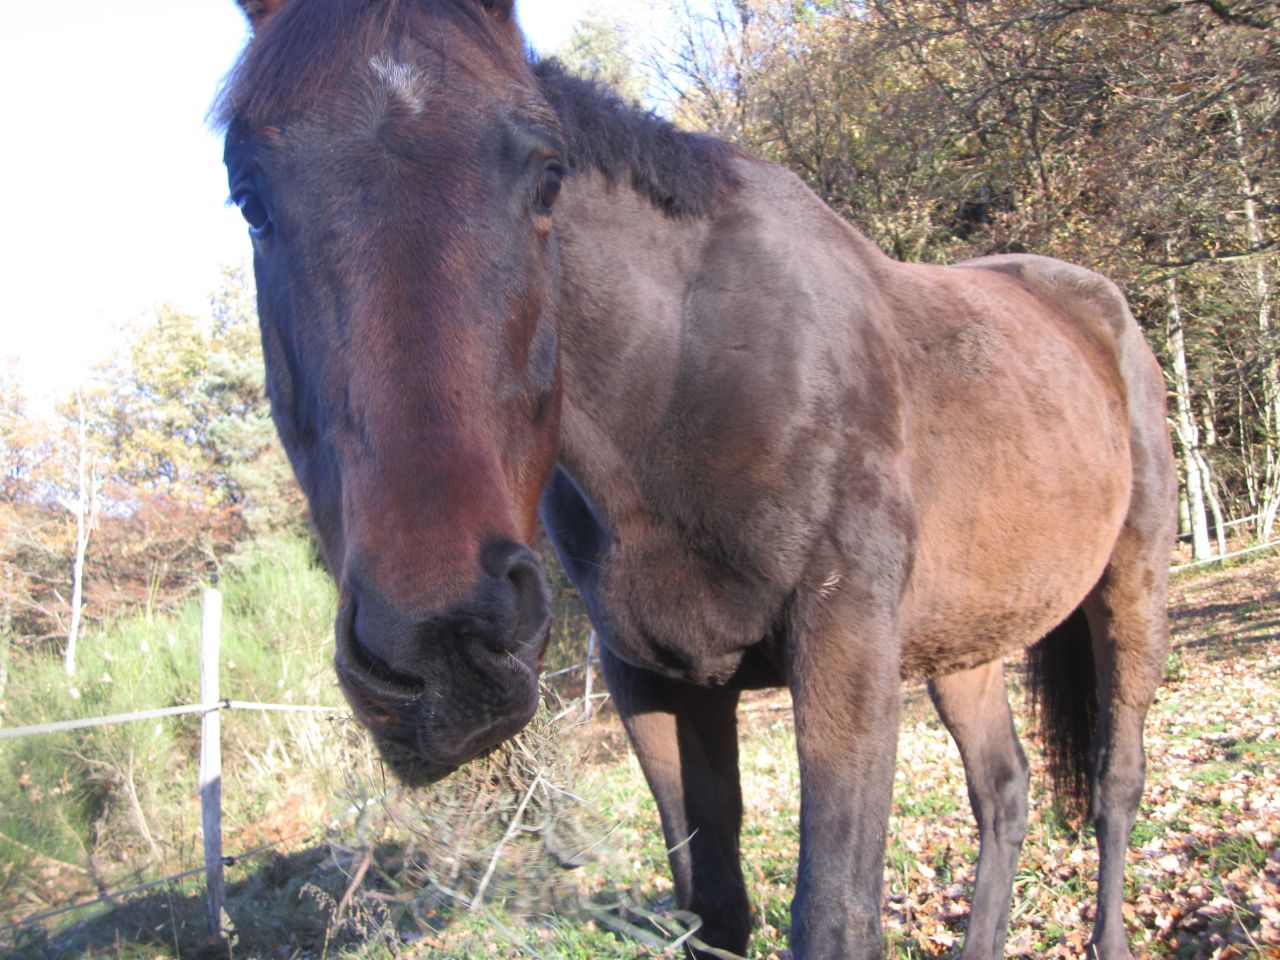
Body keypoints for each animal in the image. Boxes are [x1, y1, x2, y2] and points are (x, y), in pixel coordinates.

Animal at [217, 2, 1177, 957]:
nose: (441, 643)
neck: (685, 380)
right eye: (250, 199)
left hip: (1131, 589)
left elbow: (834, 913)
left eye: (548, 176)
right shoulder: (654, 683)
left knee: (1117, 781)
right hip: (964, 642)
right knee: (1004, 791)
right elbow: (711, 905)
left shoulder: (847, 652)